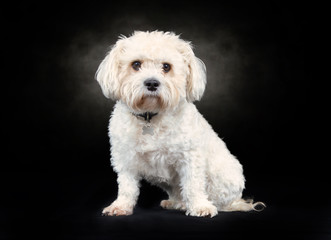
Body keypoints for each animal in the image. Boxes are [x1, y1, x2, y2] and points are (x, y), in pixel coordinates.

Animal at [95, 30, 264, 218]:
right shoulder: (125, 158)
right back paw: (177, 203)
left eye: (166, 67)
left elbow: (193, 184)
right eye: (136, 64)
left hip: (220, 176)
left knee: (218, 199)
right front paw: (121, 206)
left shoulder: (190, 158)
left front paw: (200, 207)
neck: (151, 116)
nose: (152, 83)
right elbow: (127, 187)